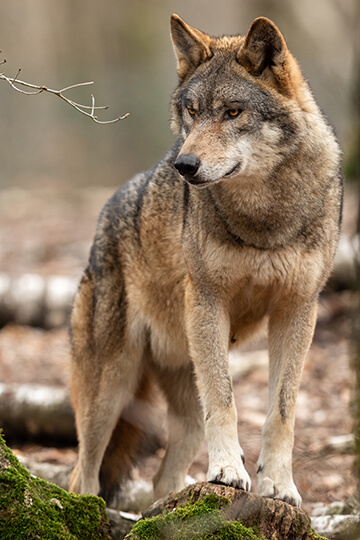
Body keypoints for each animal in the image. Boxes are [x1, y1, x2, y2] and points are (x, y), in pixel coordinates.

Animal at [68, 14, 344, 508]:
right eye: (193, 113)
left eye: (233, 112)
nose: (184, 165)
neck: (263, 219)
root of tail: (107, 212)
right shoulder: (208, 302)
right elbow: (226, 401)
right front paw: (229, 472)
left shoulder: (298, 310)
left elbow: (282, 411)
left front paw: (279, 485)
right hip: (109, 391)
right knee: (83, 476)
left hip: (177, 395)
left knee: (162, 481)